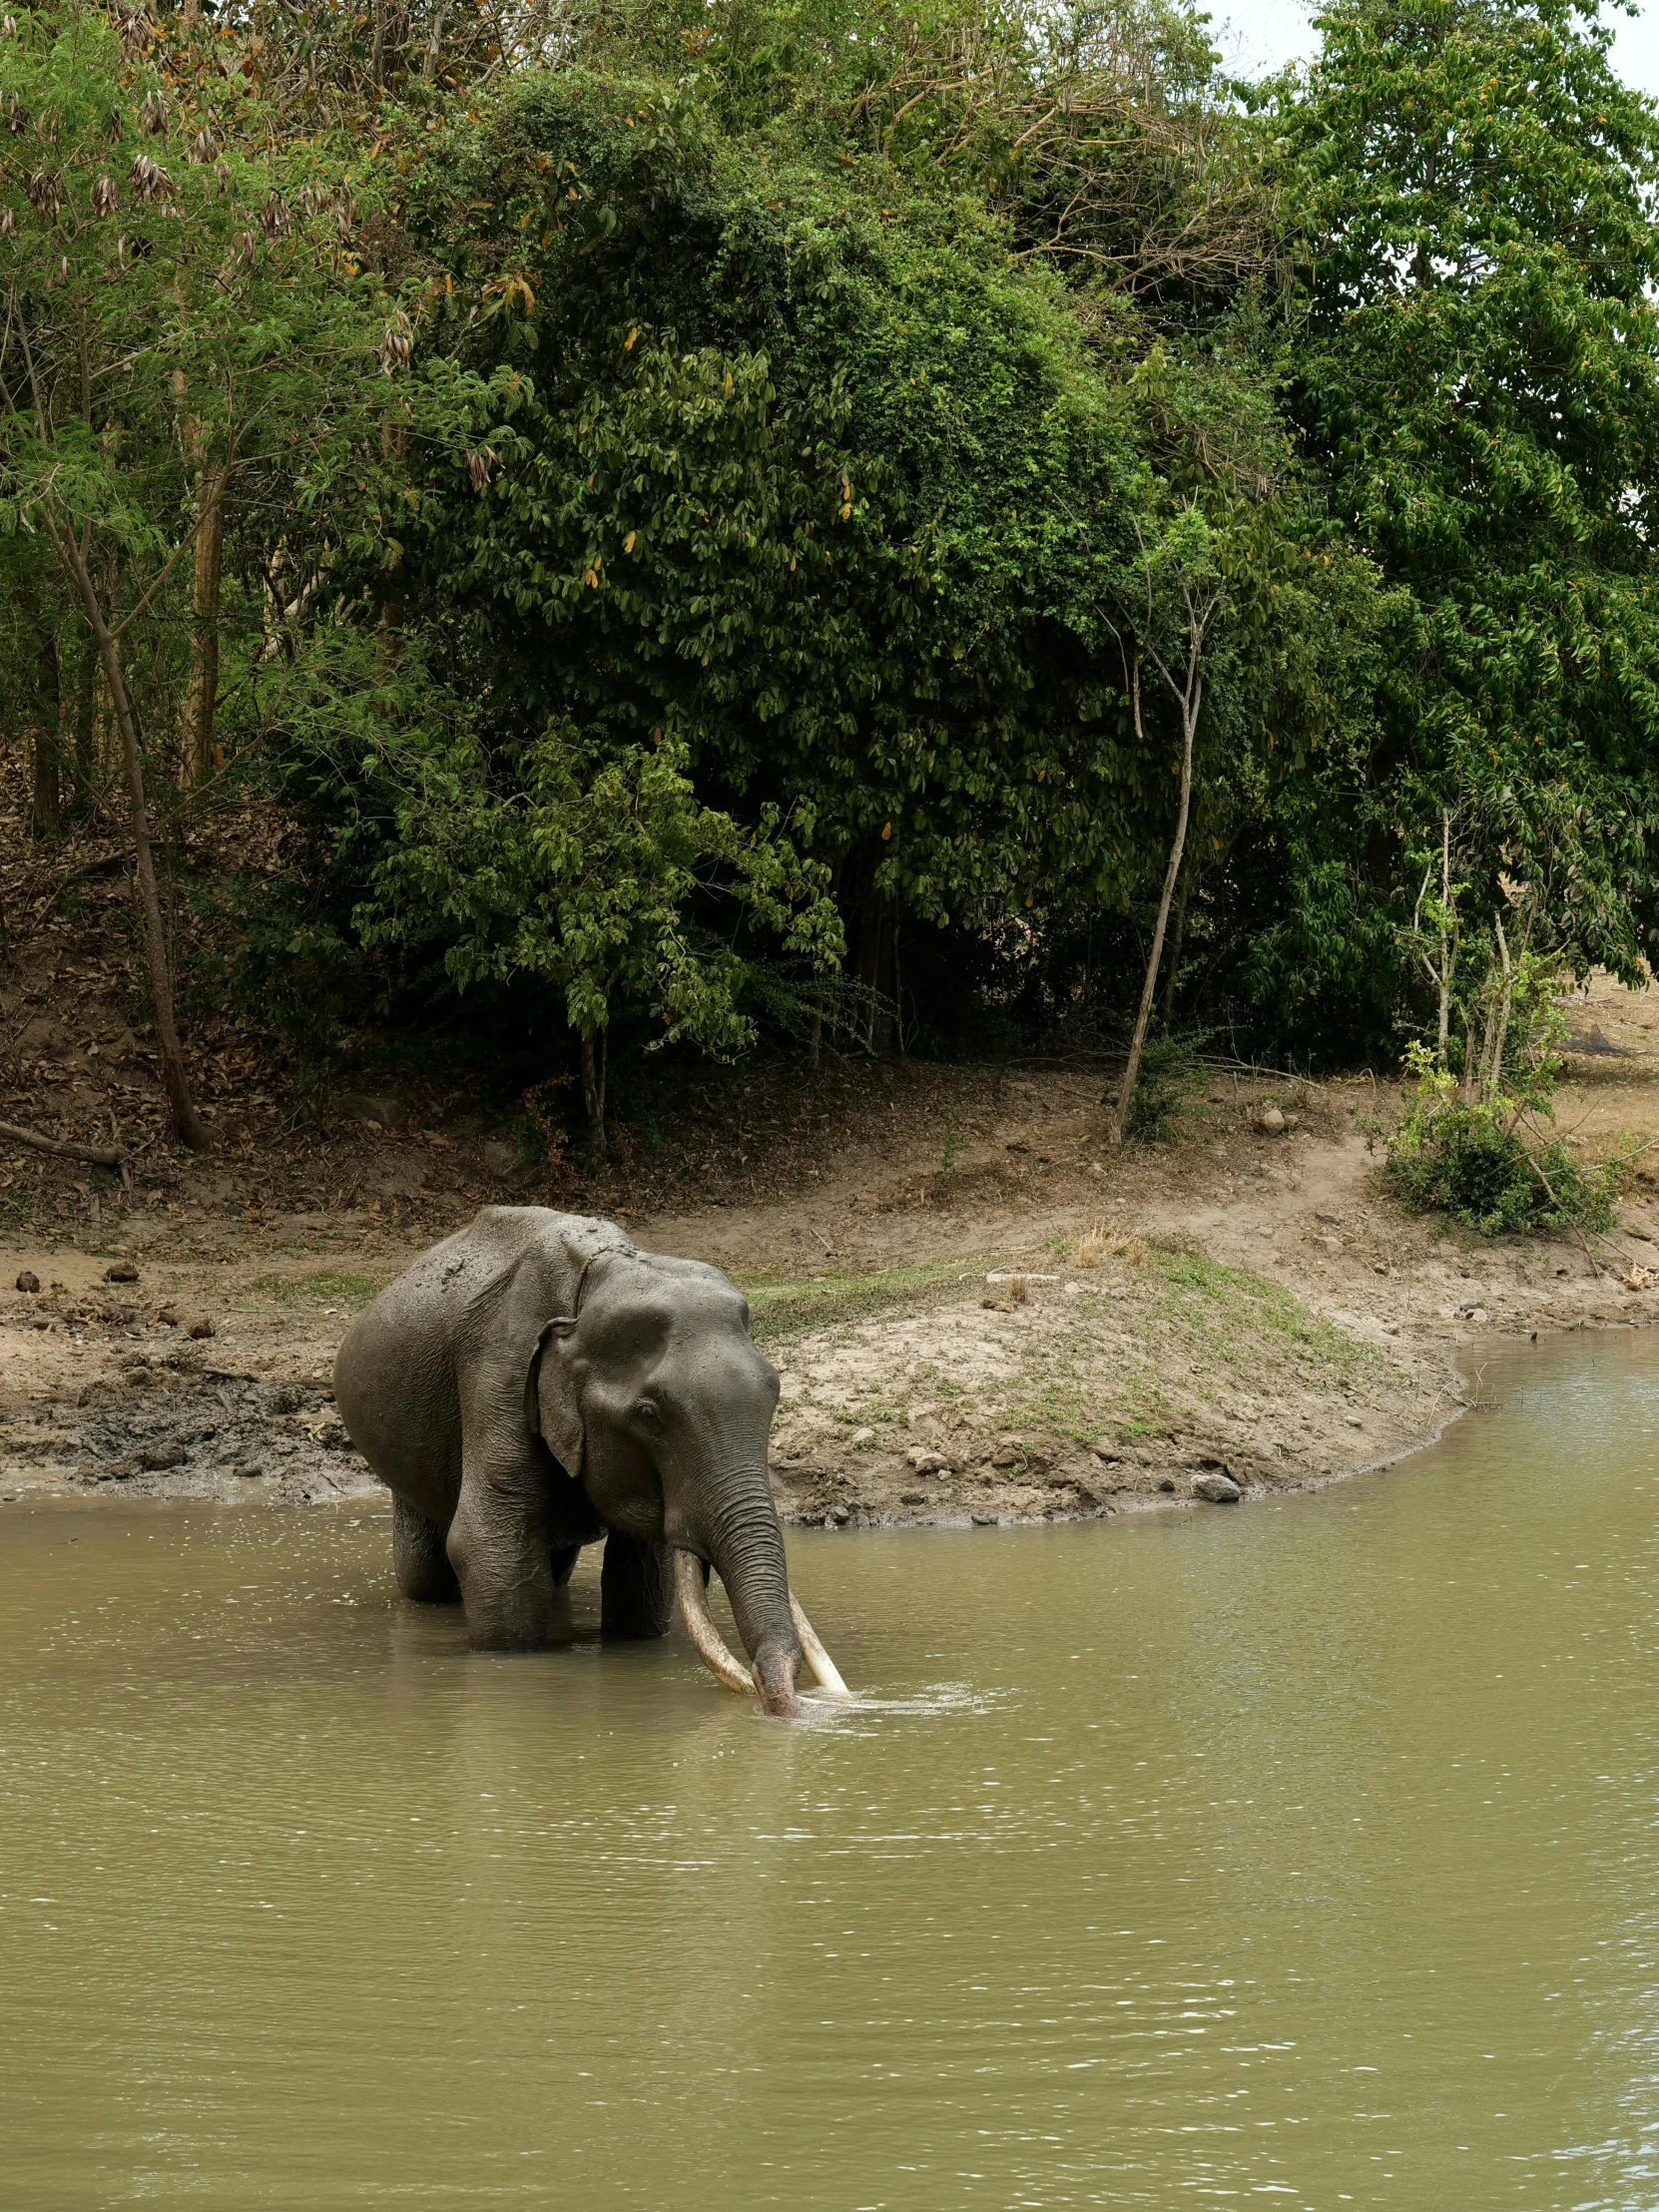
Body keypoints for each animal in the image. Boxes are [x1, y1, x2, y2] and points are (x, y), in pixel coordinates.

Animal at [326, 1212, 844, 1707]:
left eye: (774, 1393)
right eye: (650, 1415)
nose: (780, 1699)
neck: (598, 1282)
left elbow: (643, 1573)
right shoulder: (501, 1372)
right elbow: (492, 1548)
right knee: (425, 1575)